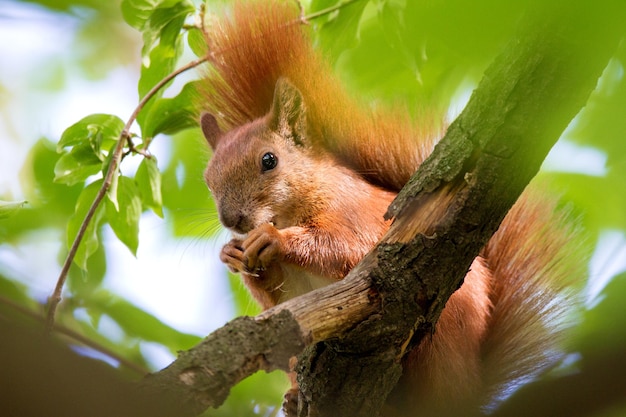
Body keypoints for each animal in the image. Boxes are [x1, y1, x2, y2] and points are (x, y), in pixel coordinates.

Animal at [199, 1, 580, 414]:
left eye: (269, 160)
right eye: (209, 180)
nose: (232, 220)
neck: (294, 207)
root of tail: (469, 390)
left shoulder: (353, 215)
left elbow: (344, 250)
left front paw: (272, 239)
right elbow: (279, 304)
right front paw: (233, 254)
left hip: (444, 334)